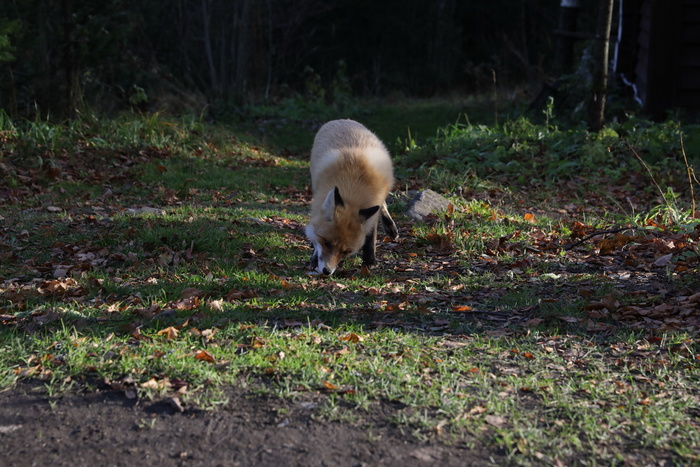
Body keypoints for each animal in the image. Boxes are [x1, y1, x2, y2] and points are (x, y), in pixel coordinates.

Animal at [304, 119, 396, 276]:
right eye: (326, 242)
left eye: (345, 252)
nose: (327, 271)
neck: (352, 191)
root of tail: (342, 120)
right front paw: (314, 259)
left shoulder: (371, 209)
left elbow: (370, 237)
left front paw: (369, 260)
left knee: (382, 206)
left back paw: (390, 227)